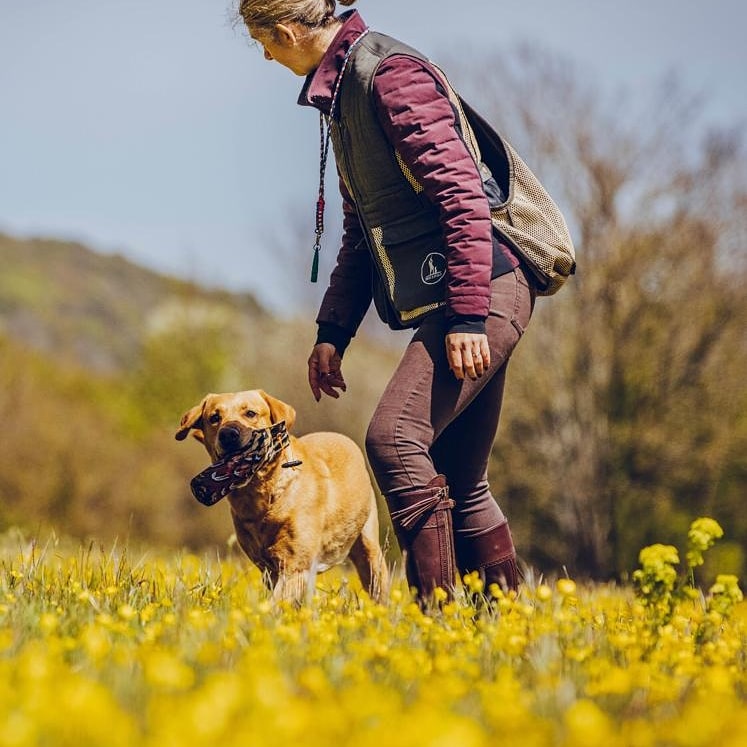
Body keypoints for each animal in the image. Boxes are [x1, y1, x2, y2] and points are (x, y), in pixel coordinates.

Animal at [174, 392, 386, 600]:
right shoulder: (269, 570)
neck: (262, 498)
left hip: (370, 552)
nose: (228, 434)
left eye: (250, 413)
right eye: (214, 418)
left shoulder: (295, 566)